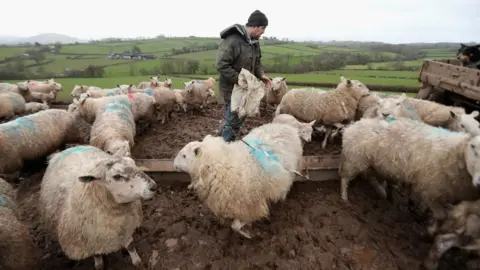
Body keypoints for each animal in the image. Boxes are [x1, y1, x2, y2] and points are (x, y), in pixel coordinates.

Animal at [173, 122, 304, 238]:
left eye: (184, 156)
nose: (173, 164)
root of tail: (288, 127)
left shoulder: (250, 206)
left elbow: (235, 226)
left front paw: (248, 234)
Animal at [340, 117, 480, 235]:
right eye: (472, 146)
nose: (479, 182)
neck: (455, 152)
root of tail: (353, 125)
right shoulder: (429, 190)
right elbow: (441, 215)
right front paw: (431, 230)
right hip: (355, 159)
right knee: (344, 179)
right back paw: (345, 198)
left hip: (372, 164)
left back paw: (383, 193)